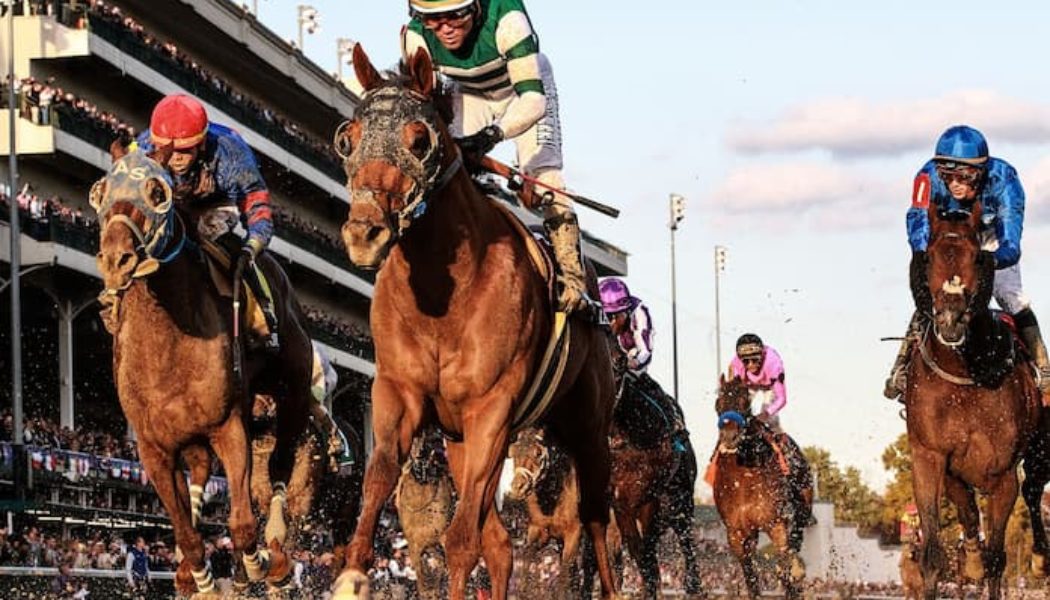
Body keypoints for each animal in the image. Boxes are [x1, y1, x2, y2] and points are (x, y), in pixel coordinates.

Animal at [92, 148, 316, 595]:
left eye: (156, 192)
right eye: (102, 192)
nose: (116, 259)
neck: (167, 342)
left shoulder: (228, 425)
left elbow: (243, 522)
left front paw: (256, 563)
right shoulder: (153, 447)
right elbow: (186, 532)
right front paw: (201, 579)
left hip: (294, 390)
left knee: (279, 463)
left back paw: (276, 552)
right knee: (198, 471)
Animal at [506, 428, 583, 598]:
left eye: (538, 453)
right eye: (512, 451)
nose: (518, 487)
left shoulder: (574, 531)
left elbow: (564, 573)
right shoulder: (538, 529)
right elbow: (527, 559)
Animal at [605, 350, 704, 600]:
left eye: (619, 366)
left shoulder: (646, 499)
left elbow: (646, 552)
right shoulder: (618, 503)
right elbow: (635, 549)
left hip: (681, 499)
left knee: (685, 539)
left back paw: (694, 585)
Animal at [713, 374, 812, 600]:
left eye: (745, 403)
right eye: (718, 403)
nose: (729, 437)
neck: (744, 480)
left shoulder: (778, 524)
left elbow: (786, 569)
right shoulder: (737, 534)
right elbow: (750, 577)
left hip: (801, 515)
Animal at [904, 200, 1040, 600]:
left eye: (978, 257)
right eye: (930, 256)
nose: (950, 320)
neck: (966, 375)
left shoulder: (1004, 474)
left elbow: (998, 557)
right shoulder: (929, 457)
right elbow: (933, 552)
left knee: (1034, 493)